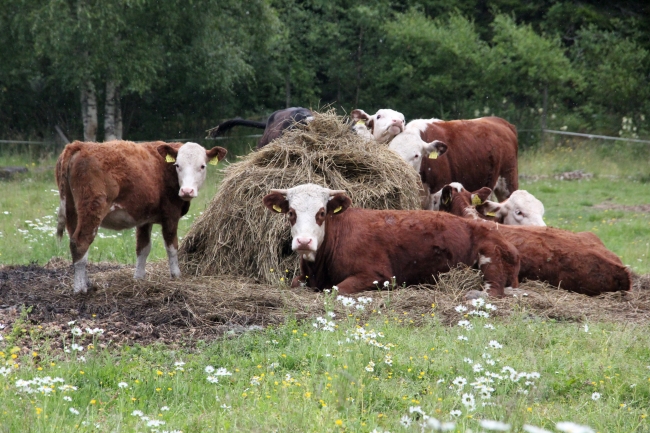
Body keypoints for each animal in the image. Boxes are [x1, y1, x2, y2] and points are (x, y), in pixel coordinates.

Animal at [55, 140, 228, 292]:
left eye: (202, 166)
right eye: (177, 165)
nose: (187, 191)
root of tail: (79, 145)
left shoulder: (145, 219)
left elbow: (143, 248)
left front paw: (139, 278)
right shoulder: (170, 215)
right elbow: (172, 246)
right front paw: (176, 275)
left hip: (72, 211)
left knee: (75, 243)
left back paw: (86, 283)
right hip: (92, 209)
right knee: (81, 242)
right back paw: (80, 288)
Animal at [260, 182, 520, 296]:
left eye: (322, 213)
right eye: (291, 213)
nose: (304, 242)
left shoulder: (380, 276)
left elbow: (336, 289)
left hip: (490, 257)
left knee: (494, 289)